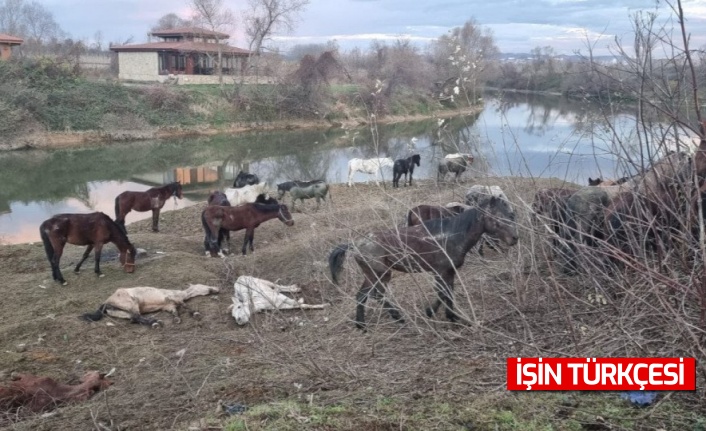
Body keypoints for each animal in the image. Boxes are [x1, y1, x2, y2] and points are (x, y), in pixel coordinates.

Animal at [80, 284, 217, 328]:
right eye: (204, 285)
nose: (216, 289)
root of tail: (106, 303)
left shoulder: (169, 306)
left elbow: (175, 311)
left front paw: (177, 319)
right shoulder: (172, 298)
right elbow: (184, 305)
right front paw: (195, 314)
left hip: (123, 312)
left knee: (134, 319)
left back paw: (155, 323)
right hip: (131, 304)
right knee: (136, 317)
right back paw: (155, 323)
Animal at [328, 196, 516, 330]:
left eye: (510, 215)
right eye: (496, 218)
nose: (515, 238)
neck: (452, 235)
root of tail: (355, 244)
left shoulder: (450, 271)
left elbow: (448, 293)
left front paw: (452, 317)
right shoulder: (440, 271)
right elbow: (442, 293)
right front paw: (432, 312)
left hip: (375, 275)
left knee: (366, 296)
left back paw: (367, 324)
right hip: (379, 274)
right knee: (373, 295)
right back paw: (391, 319)